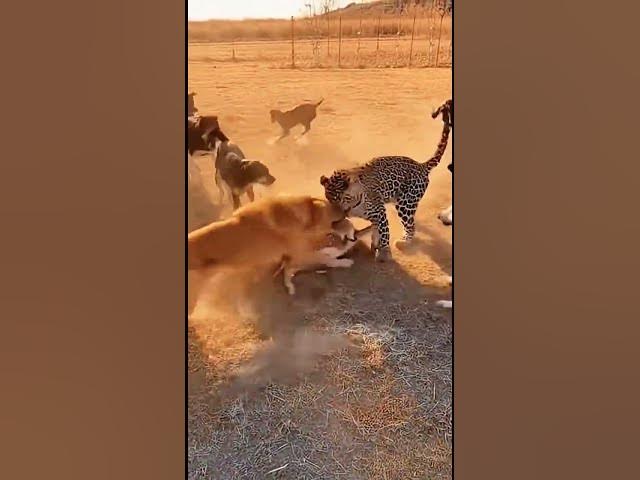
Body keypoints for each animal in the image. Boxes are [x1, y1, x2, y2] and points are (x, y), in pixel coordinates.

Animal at [320, 99, 452, 262]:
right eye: (329, 199)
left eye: (343, 198)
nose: (340, 213)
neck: (355, 204)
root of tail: (421, 165)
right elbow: (374, 230)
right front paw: (374, 244)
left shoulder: (380, 212)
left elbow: (384, 233)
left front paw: (384, 252)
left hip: (406, 204)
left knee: (411, 226)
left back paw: (404, 242)